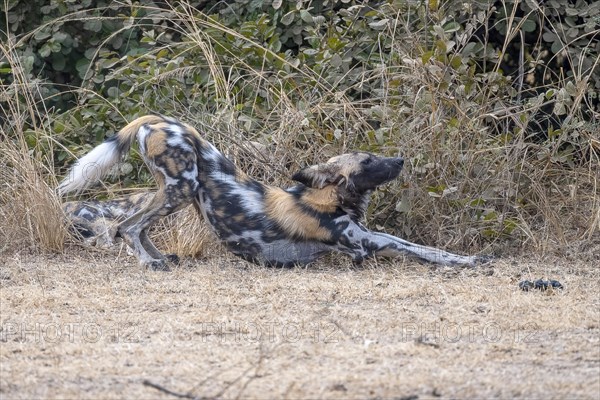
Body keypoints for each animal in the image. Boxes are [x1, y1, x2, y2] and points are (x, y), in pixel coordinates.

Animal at [57, 114, 488, 268]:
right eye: (367, 162)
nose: (399, 160)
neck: (331, 199)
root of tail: (159, 119)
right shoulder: (368, 243)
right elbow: (425, 251)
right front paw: (469, 263)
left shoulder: (371, 238)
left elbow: (431, 248)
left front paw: (474, 257)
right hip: (181, 188)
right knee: (126, 226)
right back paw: (150, 263)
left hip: (170, 190)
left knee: (134, 224)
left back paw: (162, 257)